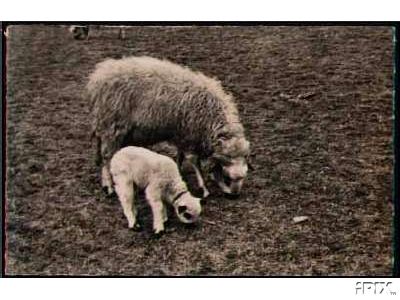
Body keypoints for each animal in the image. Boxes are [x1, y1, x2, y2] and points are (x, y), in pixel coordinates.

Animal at [87, 55, 250, 198]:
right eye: (228, 177)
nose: (234, 195)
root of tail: (97, 77)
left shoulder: (181, 133)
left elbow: (181, 155)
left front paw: (179, 170)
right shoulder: (189, 134)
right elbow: (194, 161)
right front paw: (203, 188)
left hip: (110, 126)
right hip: (112, 125)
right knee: (107, 157)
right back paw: (108, 186)